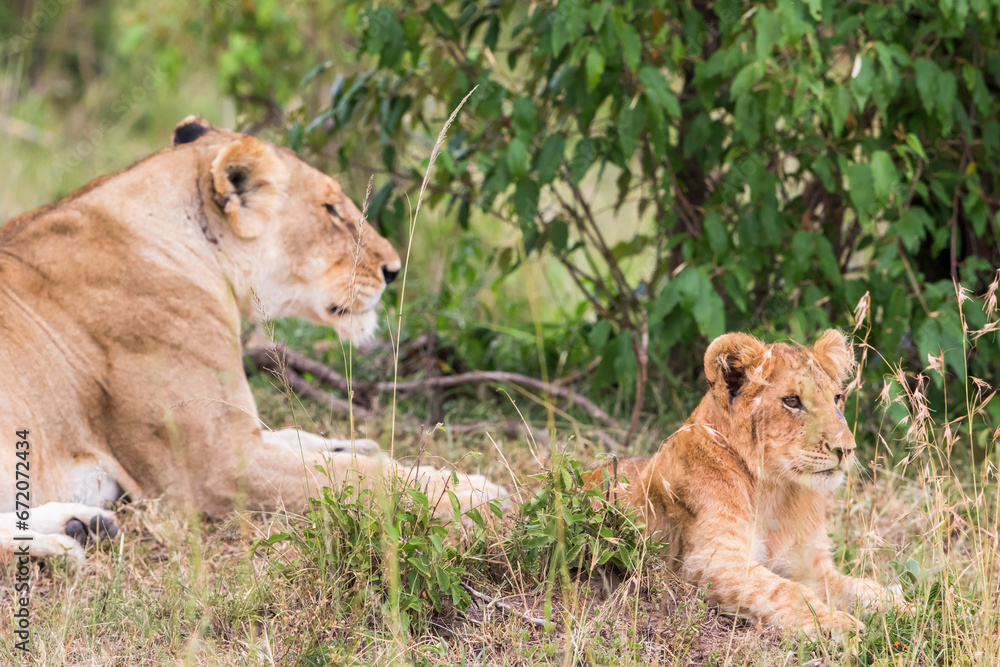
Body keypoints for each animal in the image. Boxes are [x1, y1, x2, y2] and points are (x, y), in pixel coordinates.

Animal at [0, 116, 505, 563]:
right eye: (331, 210)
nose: (393, 269)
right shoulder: (216, 467)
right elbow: (357, 478)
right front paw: (474, 494)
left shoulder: (240, 433)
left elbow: (307, 443)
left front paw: (357, 445)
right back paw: (59, 547)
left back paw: (82, 525)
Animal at [585, 330, 904, 638]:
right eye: (792, 401)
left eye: (837, 398)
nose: (846, 449)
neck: (777, 491)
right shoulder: (707, 562)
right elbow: (785, 591)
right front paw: (835, 623)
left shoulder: (811, 565)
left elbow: (858, 587)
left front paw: (902, 607)